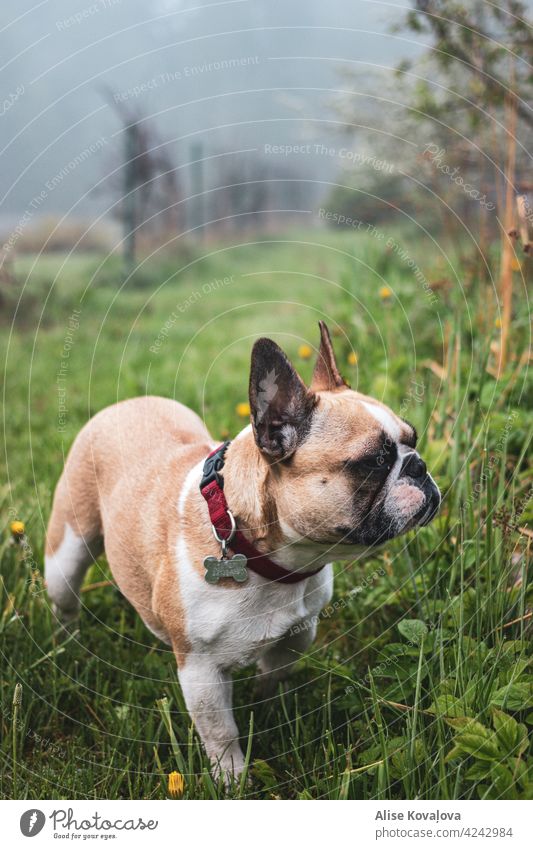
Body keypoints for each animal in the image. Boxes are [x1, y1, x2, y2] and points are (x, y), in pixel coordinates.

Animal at [45, 322, 438, 780]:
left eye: (413, 439)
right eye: (373, 462)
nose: (419, 466)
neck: (266, 557)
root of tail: (125, 405)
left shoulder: (297, 634)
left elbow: (274, 678)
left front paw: (272, 712)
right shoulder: (201, 671)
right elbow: (221, 732)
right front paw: (231, 779)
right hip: (67, 550)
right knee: (66, 598)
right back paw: (69, 645)